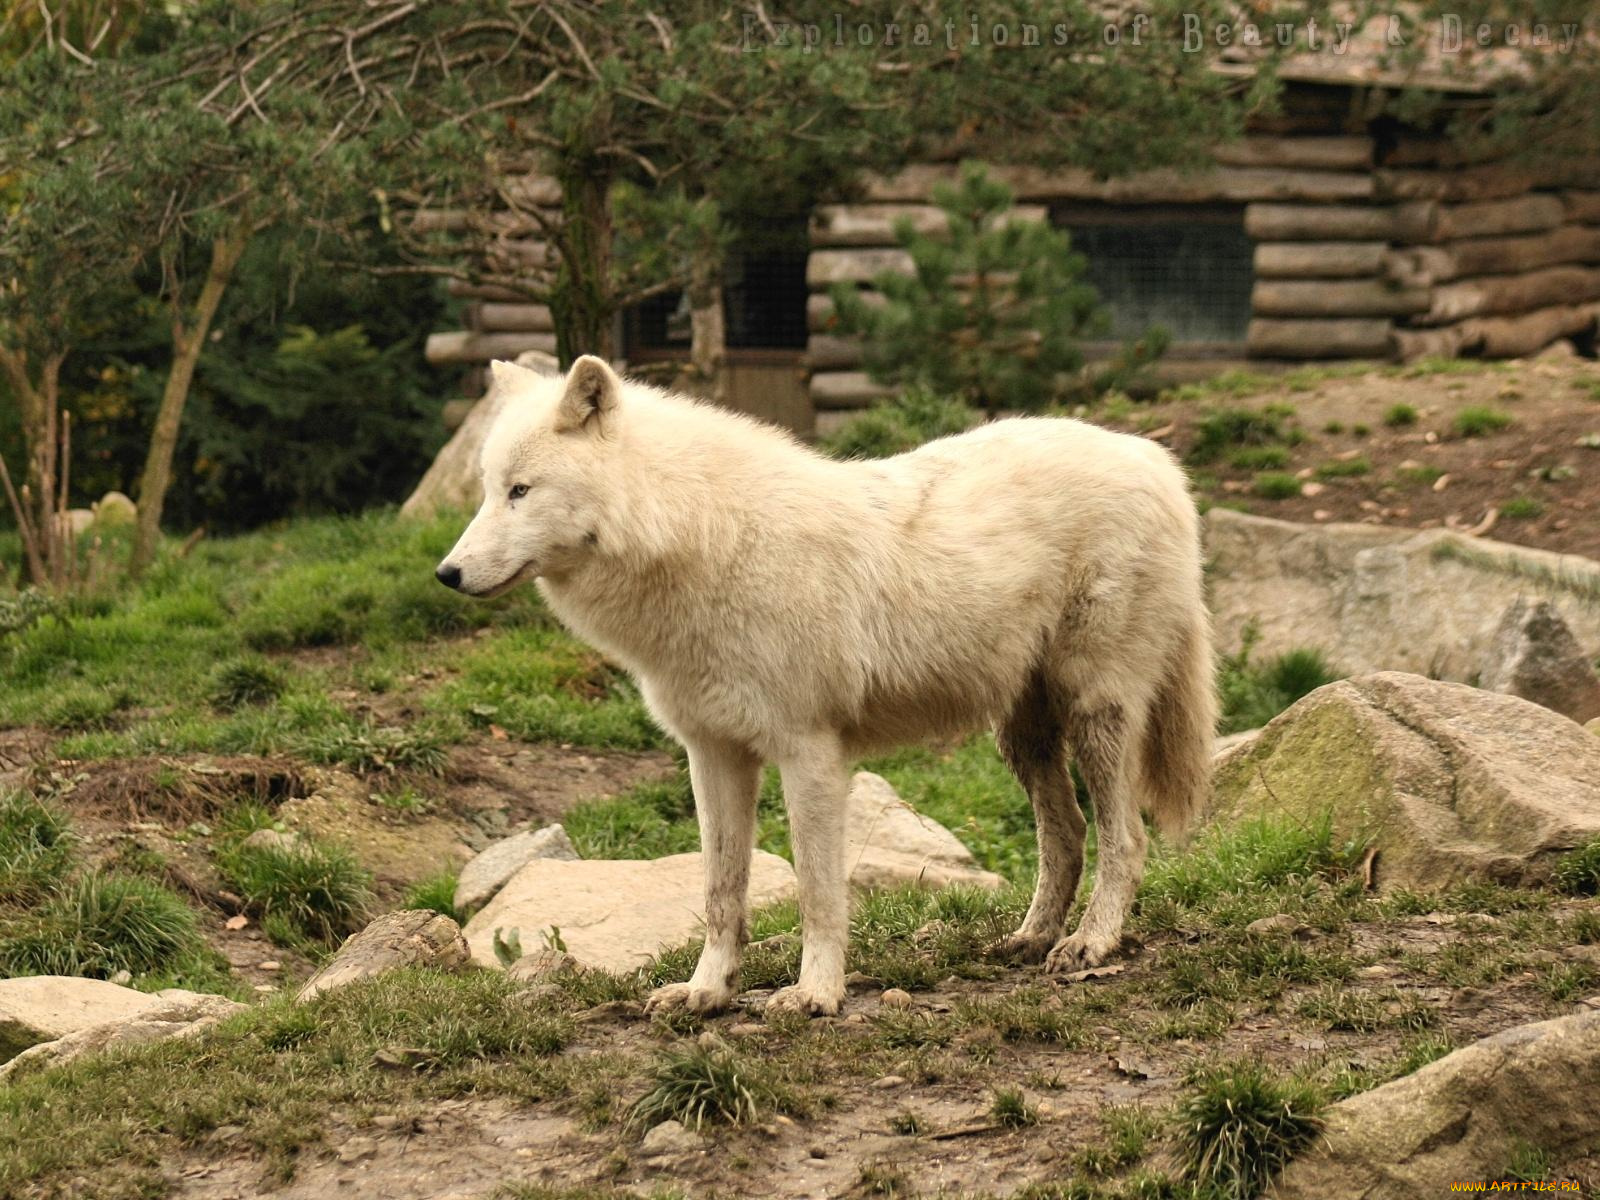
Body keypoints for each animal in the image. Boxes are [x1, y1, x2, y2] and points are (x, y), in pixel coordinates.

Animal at [438, 355, 1209, 1017]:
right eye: (486, 490)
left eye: (520, 491)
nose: (447, 573)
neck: (705, 540)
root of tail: (1154, 457)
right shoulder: (712, 754)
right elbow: (721, 891)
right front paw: (706, 992)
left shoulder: (808, 753)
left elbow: (815, 890)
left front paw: (814, 995)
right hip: (1021, 734)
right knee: (1068, 833)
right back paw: (1031, 938)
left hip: (1095, 713)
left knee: (1125, 838)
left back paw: (1090, 943)